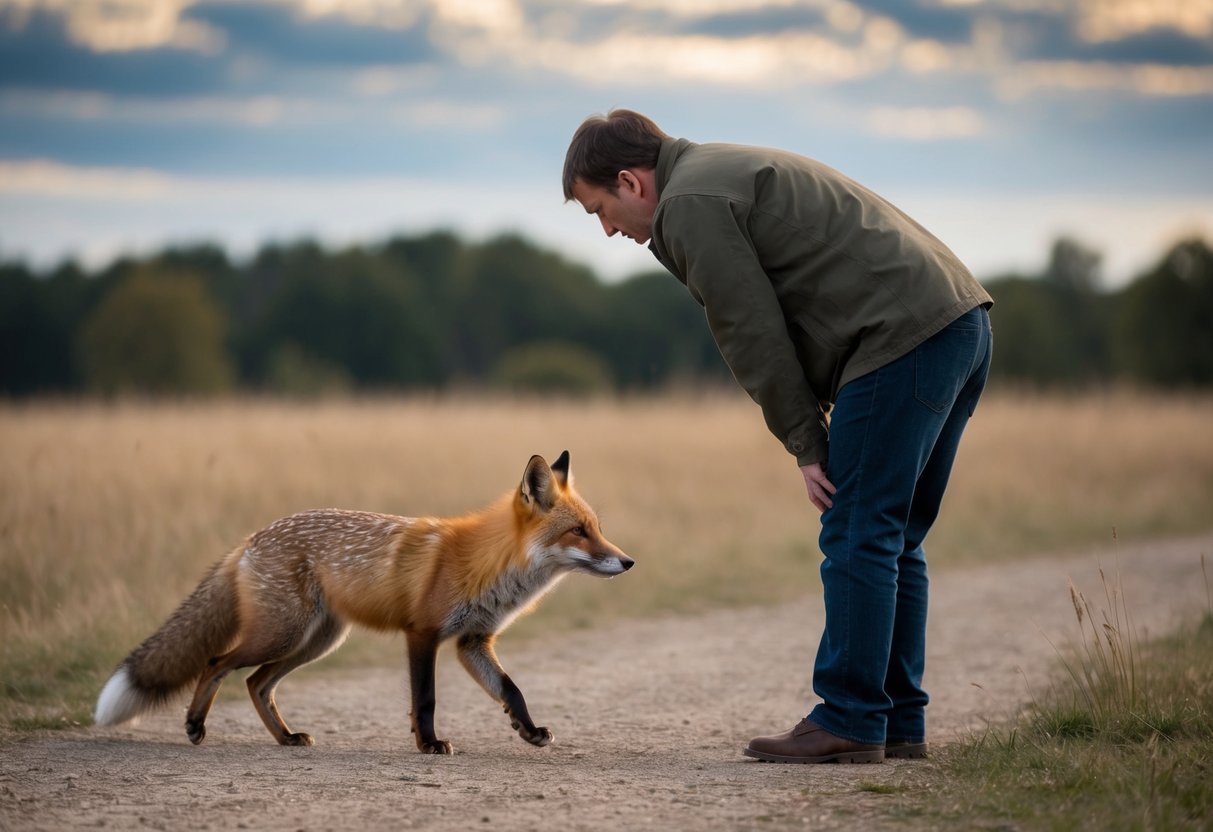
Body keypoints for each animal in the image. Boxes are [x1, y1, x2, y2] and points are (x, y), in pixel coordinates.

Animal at [93, 451, 633, 753]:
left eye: (597, 528)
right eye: (578, 532)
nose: (627, 562)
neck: (488, 565)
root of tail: (252, 538)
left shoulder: (473, 641)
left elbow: (511, 691)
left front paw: (530, 730)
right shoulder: (423, 633)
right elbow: (425, 699)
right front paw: (428, 744)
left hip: (317, 642)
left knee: (255, 683)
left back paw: (286, 739)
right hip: (281, 634)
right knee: (216, 662)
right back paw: (194, 725)